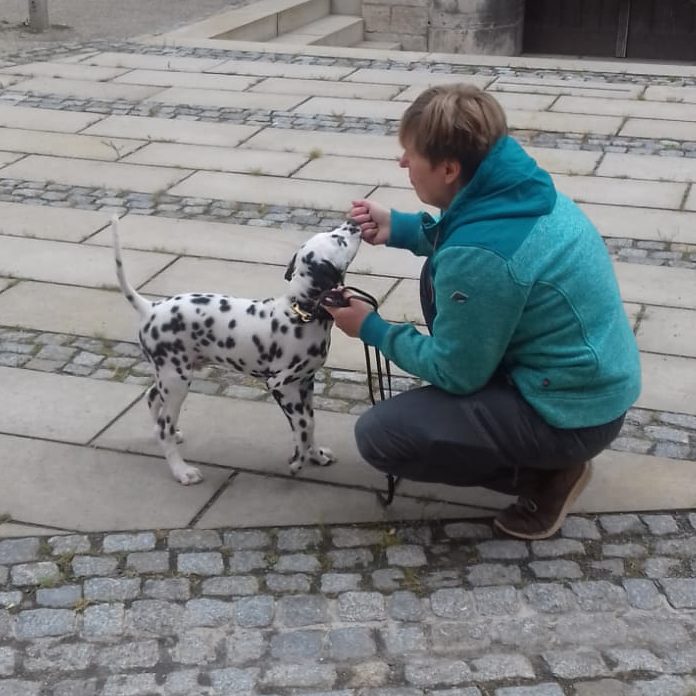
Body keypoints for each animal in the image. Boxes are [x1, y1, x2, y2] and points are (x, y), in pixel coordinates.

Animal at [111, 216, 362, 484]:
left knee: (152, 400)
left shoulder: (305, 383)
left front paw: (316, 455)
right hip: (177, 381)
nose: (353, 221)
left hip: (169, 378)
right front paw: (297, 461)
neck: (300, 312)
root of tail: (150, 307)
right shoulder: (281, 385)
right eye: (338, 239)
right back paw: (182, 471)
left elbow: (311, 422)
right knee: (163, 428)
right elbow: (304, 425)